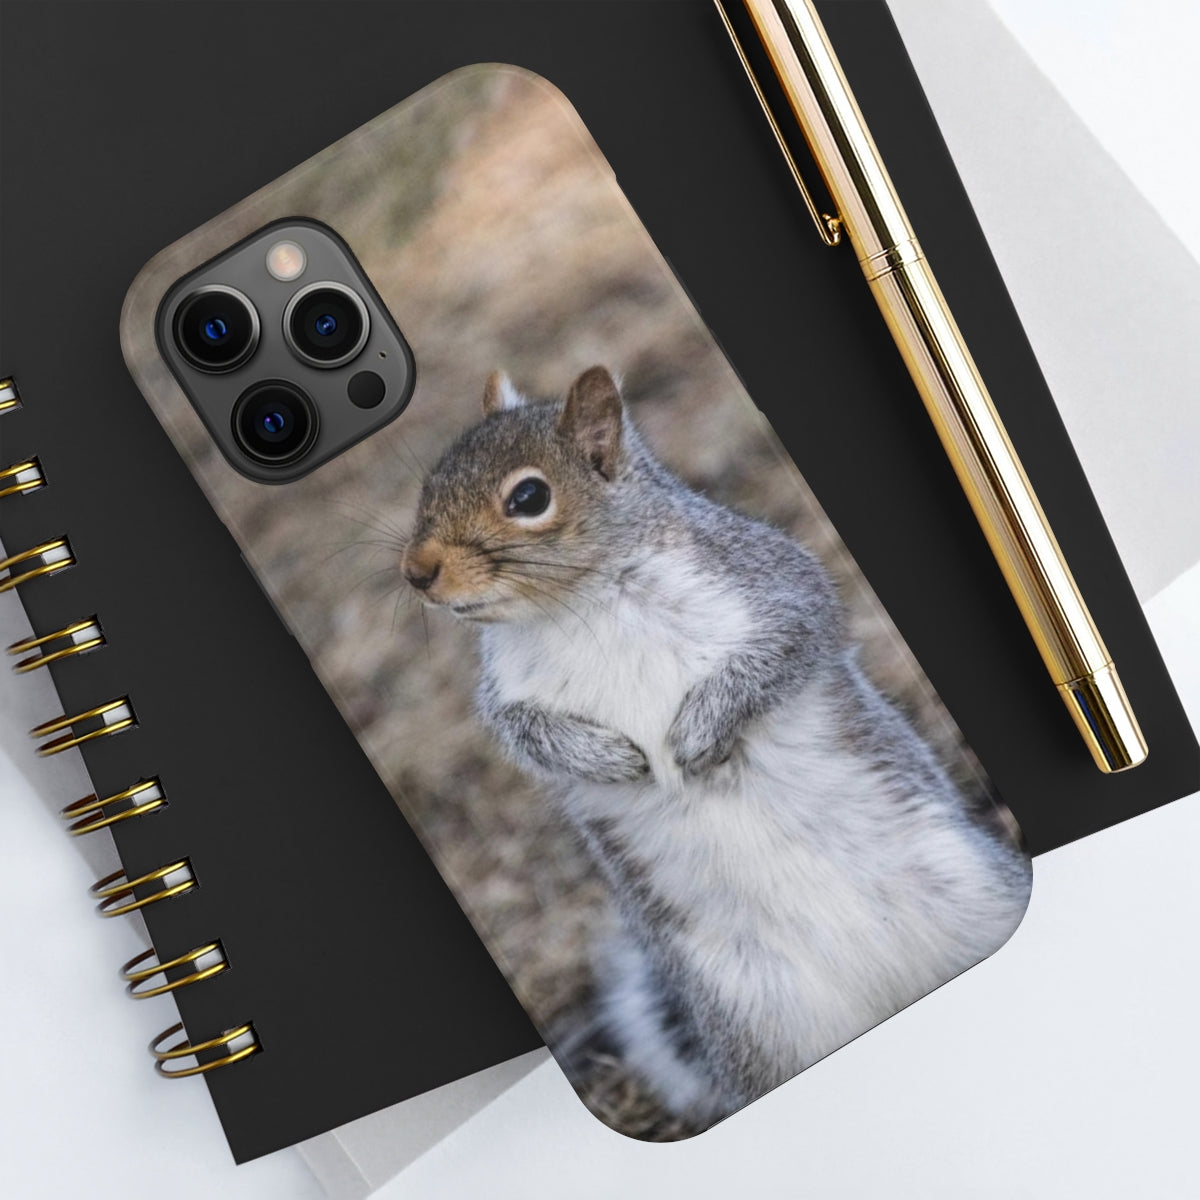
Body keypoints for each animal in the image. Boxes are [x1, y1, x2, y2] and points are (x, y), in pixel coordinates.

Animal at [401, 365, 1032, 1127]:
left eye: (528, 497)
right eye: (429, 482)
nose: (416, 571)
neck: (577, 605)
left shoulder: (771, 584)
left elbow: (790, 640)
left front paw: (697, 733)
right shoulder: (506, 696)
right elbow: (528, 736)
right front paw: (609, 758)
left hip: (980, 896)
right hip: (754, 1024)